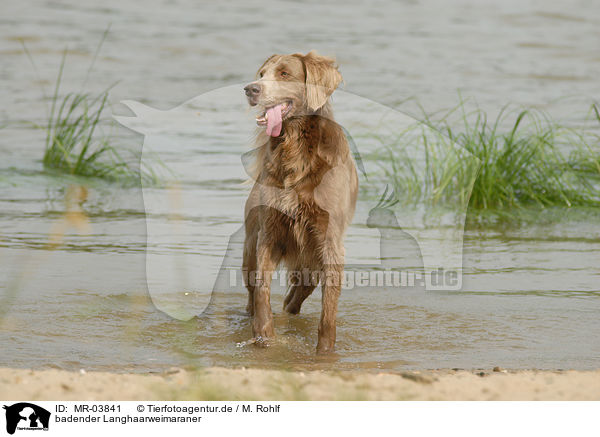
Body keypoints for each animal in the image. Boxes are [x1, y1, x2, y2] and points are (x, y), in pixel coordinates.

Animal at [243, 51, 356, 352]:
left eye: (284, 73)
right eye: (261, 74)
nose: (250, 89)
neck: (295, 149)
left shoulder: (328, 239)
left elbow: (328, 309)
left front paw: (324, 351)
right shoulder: (269, 232)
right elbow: (262, 289)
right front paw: (265, 335)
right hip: (250, 240)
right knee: (252, 289)